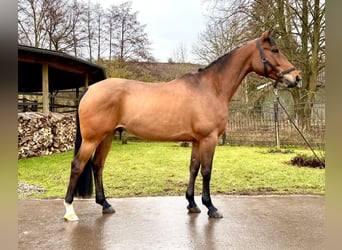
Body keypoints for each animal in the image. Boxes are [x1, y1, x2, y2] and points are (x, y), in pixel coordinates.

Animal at [62, 29, 300, 221]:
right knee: (77, 166)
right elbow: (207, 171)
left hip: (108, 136)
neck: (211, 87)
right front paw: (211, 207)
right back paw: (70, 211)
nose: (296, 78)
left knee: (97, 165)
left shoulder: (196, 140)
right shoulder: (208, 139)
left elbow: (193, 168)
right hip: (93, 139)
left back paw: (105, 204)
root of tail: (91, 89)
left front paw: (192, 204)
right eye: (276, 50)